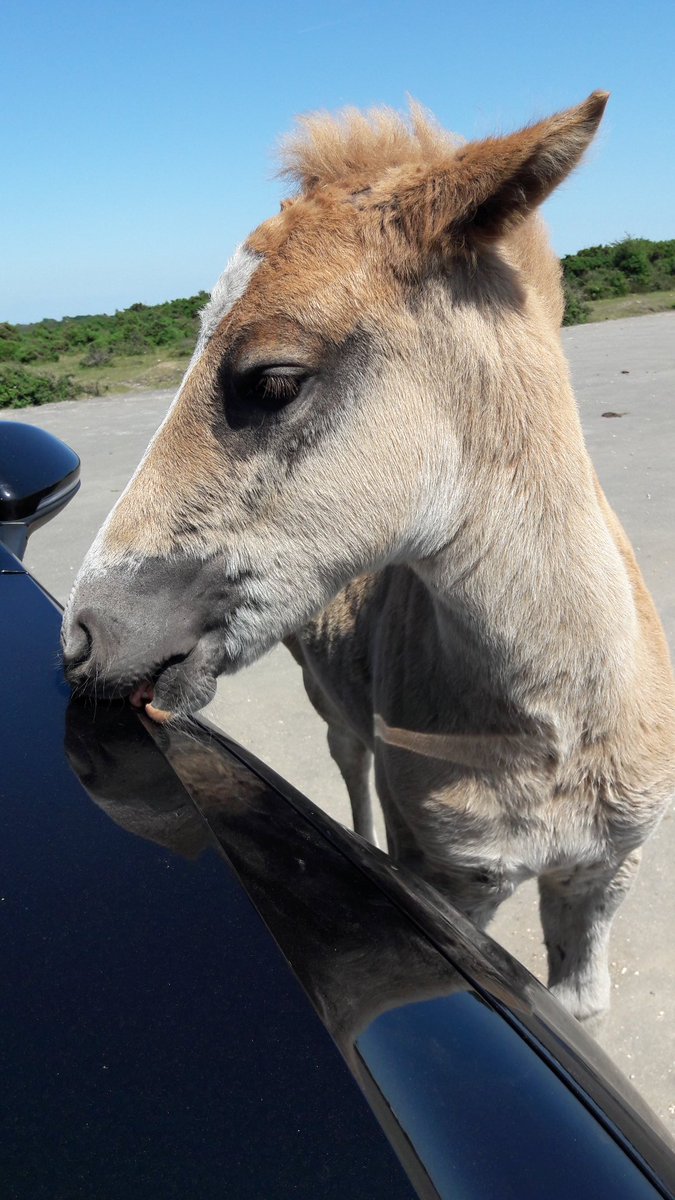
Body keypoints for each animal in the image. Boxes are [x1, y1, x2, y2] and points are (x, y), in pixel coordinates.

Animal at [63, 92, 675, 1025]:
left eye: (273, 380)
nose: (84, 633)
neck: (556, 729)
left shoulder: (607, 869)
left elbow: (580, 1009)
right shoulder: (453, 879)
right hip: (335, 712)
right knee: (349, 769)